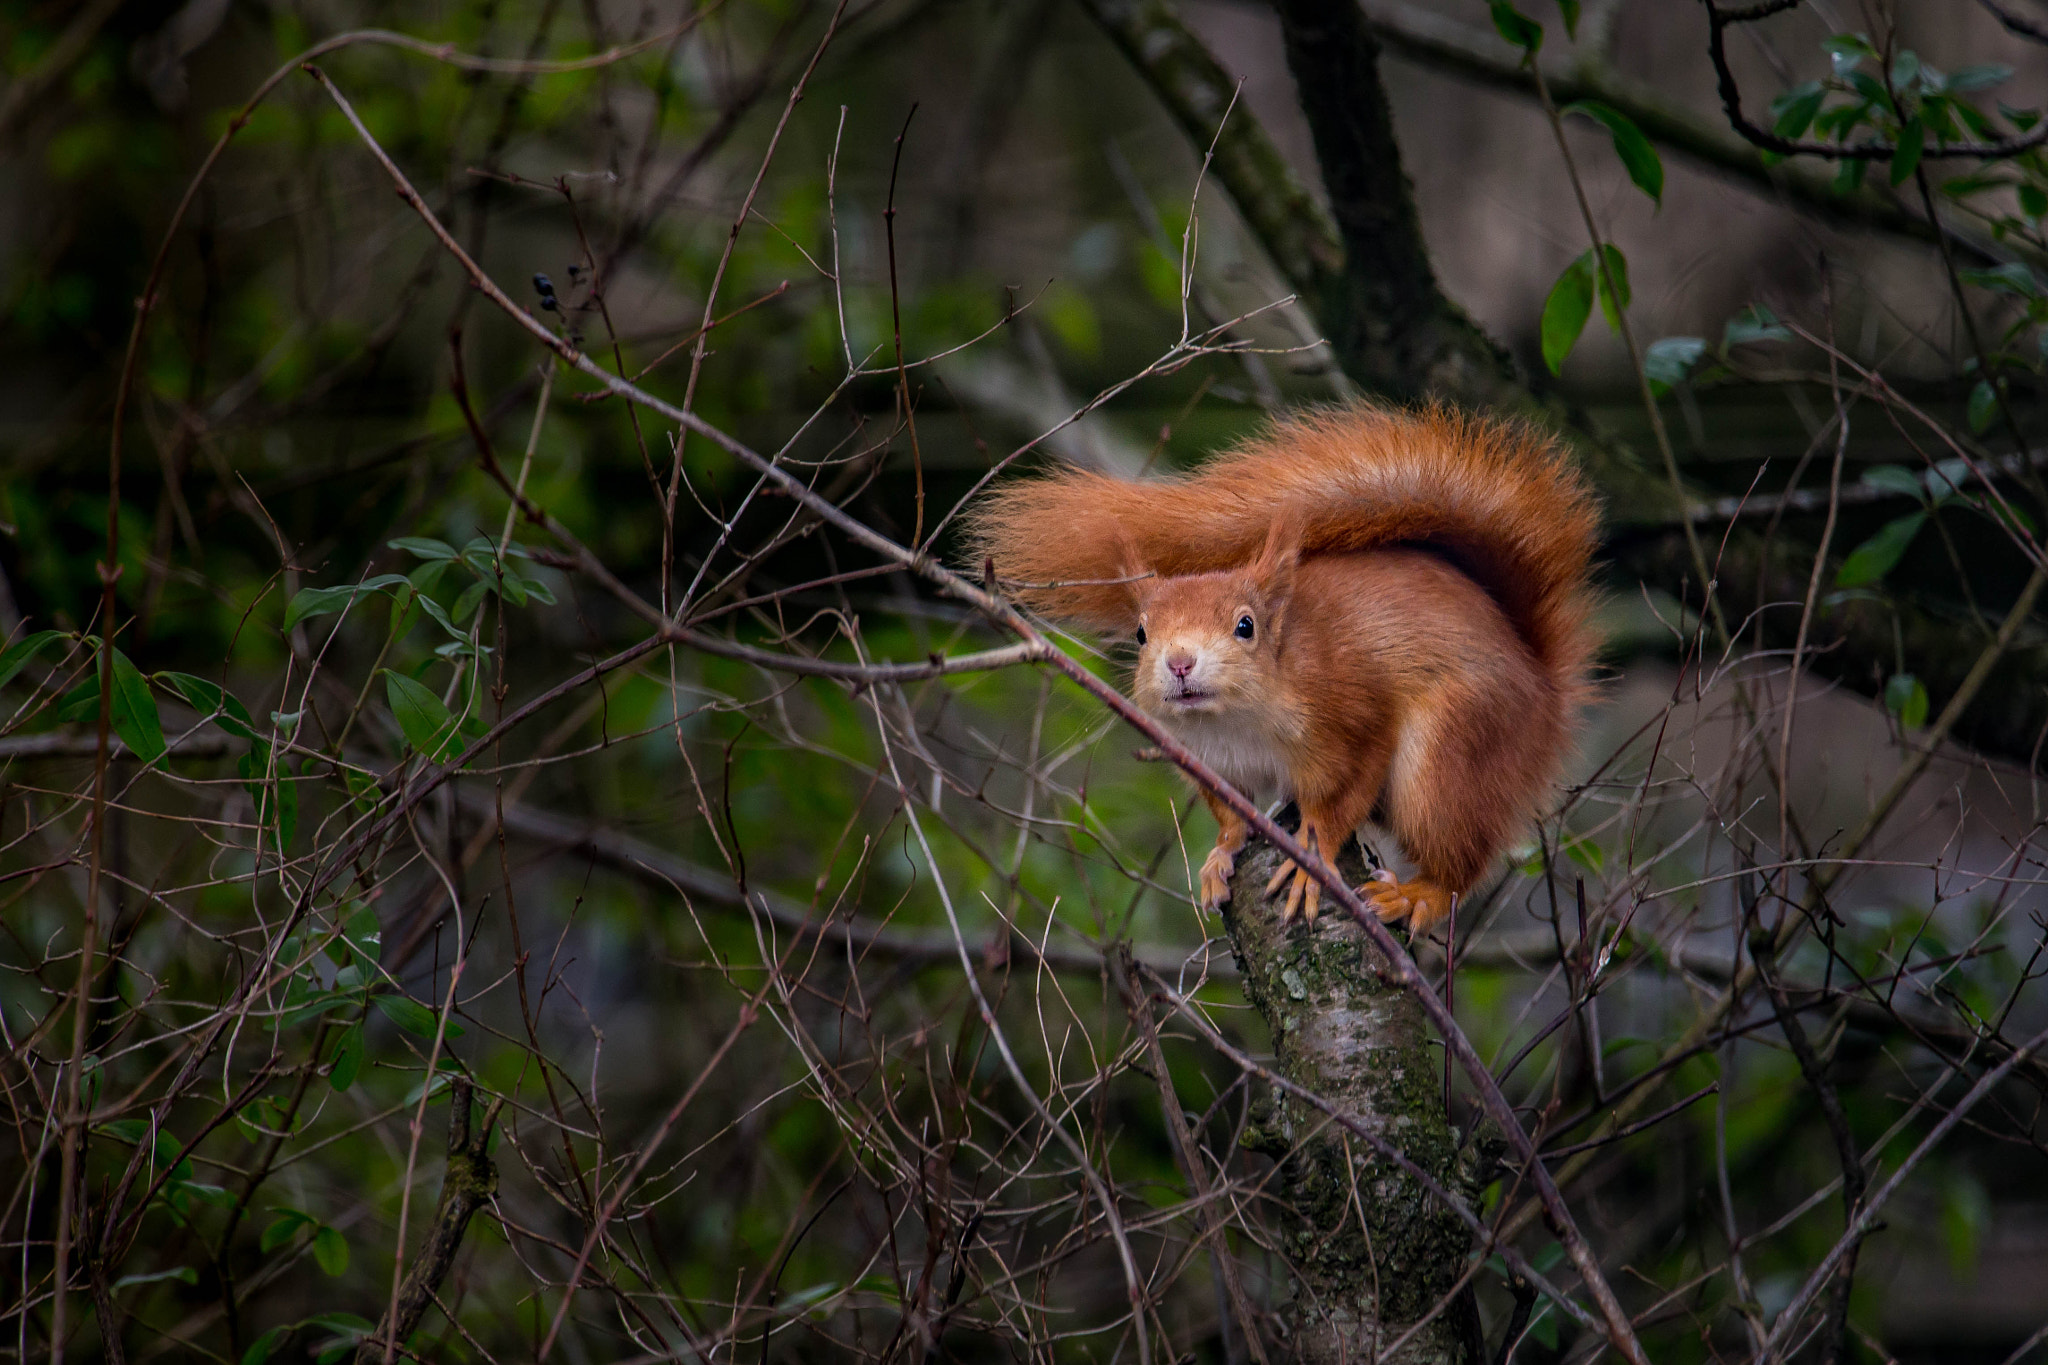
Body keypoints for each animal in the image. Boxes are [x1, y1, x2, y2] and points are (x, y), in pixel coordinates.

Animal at [974, 405, 1597, 933]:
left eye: (1246, 626)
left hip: (1455, 757)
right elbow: (1231, 815)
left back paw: (1414, 894)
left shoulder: (1354, 721)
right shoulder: (1212, 764)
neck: (1238, 721)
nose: (1179, 662)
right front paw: (1220, 856)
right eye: (1142, 633)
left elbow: (1338, 802)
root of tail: (1544, 689)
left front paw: (1308, 863)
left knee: (1455, 861)